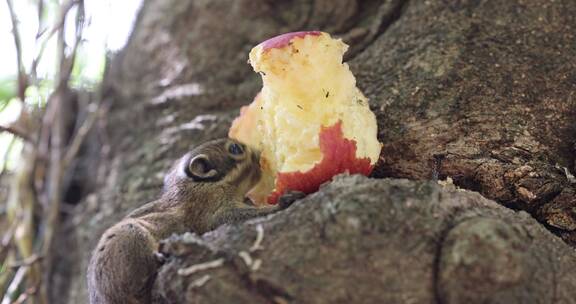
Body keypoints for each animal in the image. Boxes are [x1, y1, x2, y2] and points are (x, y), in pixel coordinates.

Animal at [87, 139, 302, 302]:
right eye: (234, 148)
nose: (260, 152)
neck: (198, 186)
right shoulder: (212, 211)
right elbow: (234, 217)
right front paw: (281, 203)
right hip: (129, 236)